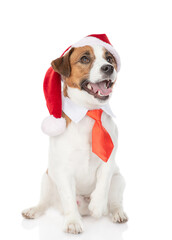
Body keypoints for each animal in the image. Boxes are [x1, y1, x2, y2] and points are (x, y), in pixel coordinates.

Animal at [21, 34, 127, 233]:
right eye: (85, 59)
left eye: (109, 58)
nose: (108, 68)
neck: (89, 111)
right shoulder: (63, 169)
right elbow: (69, 198)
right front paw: (72, 222)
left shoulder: (109, 161)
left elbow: (103, 182)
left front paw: (97, 205)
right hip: (47, 178)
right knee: (45, 203)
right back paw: (34, 210)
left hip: (118, 180)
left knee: (115, 201)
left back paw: (117, 212)